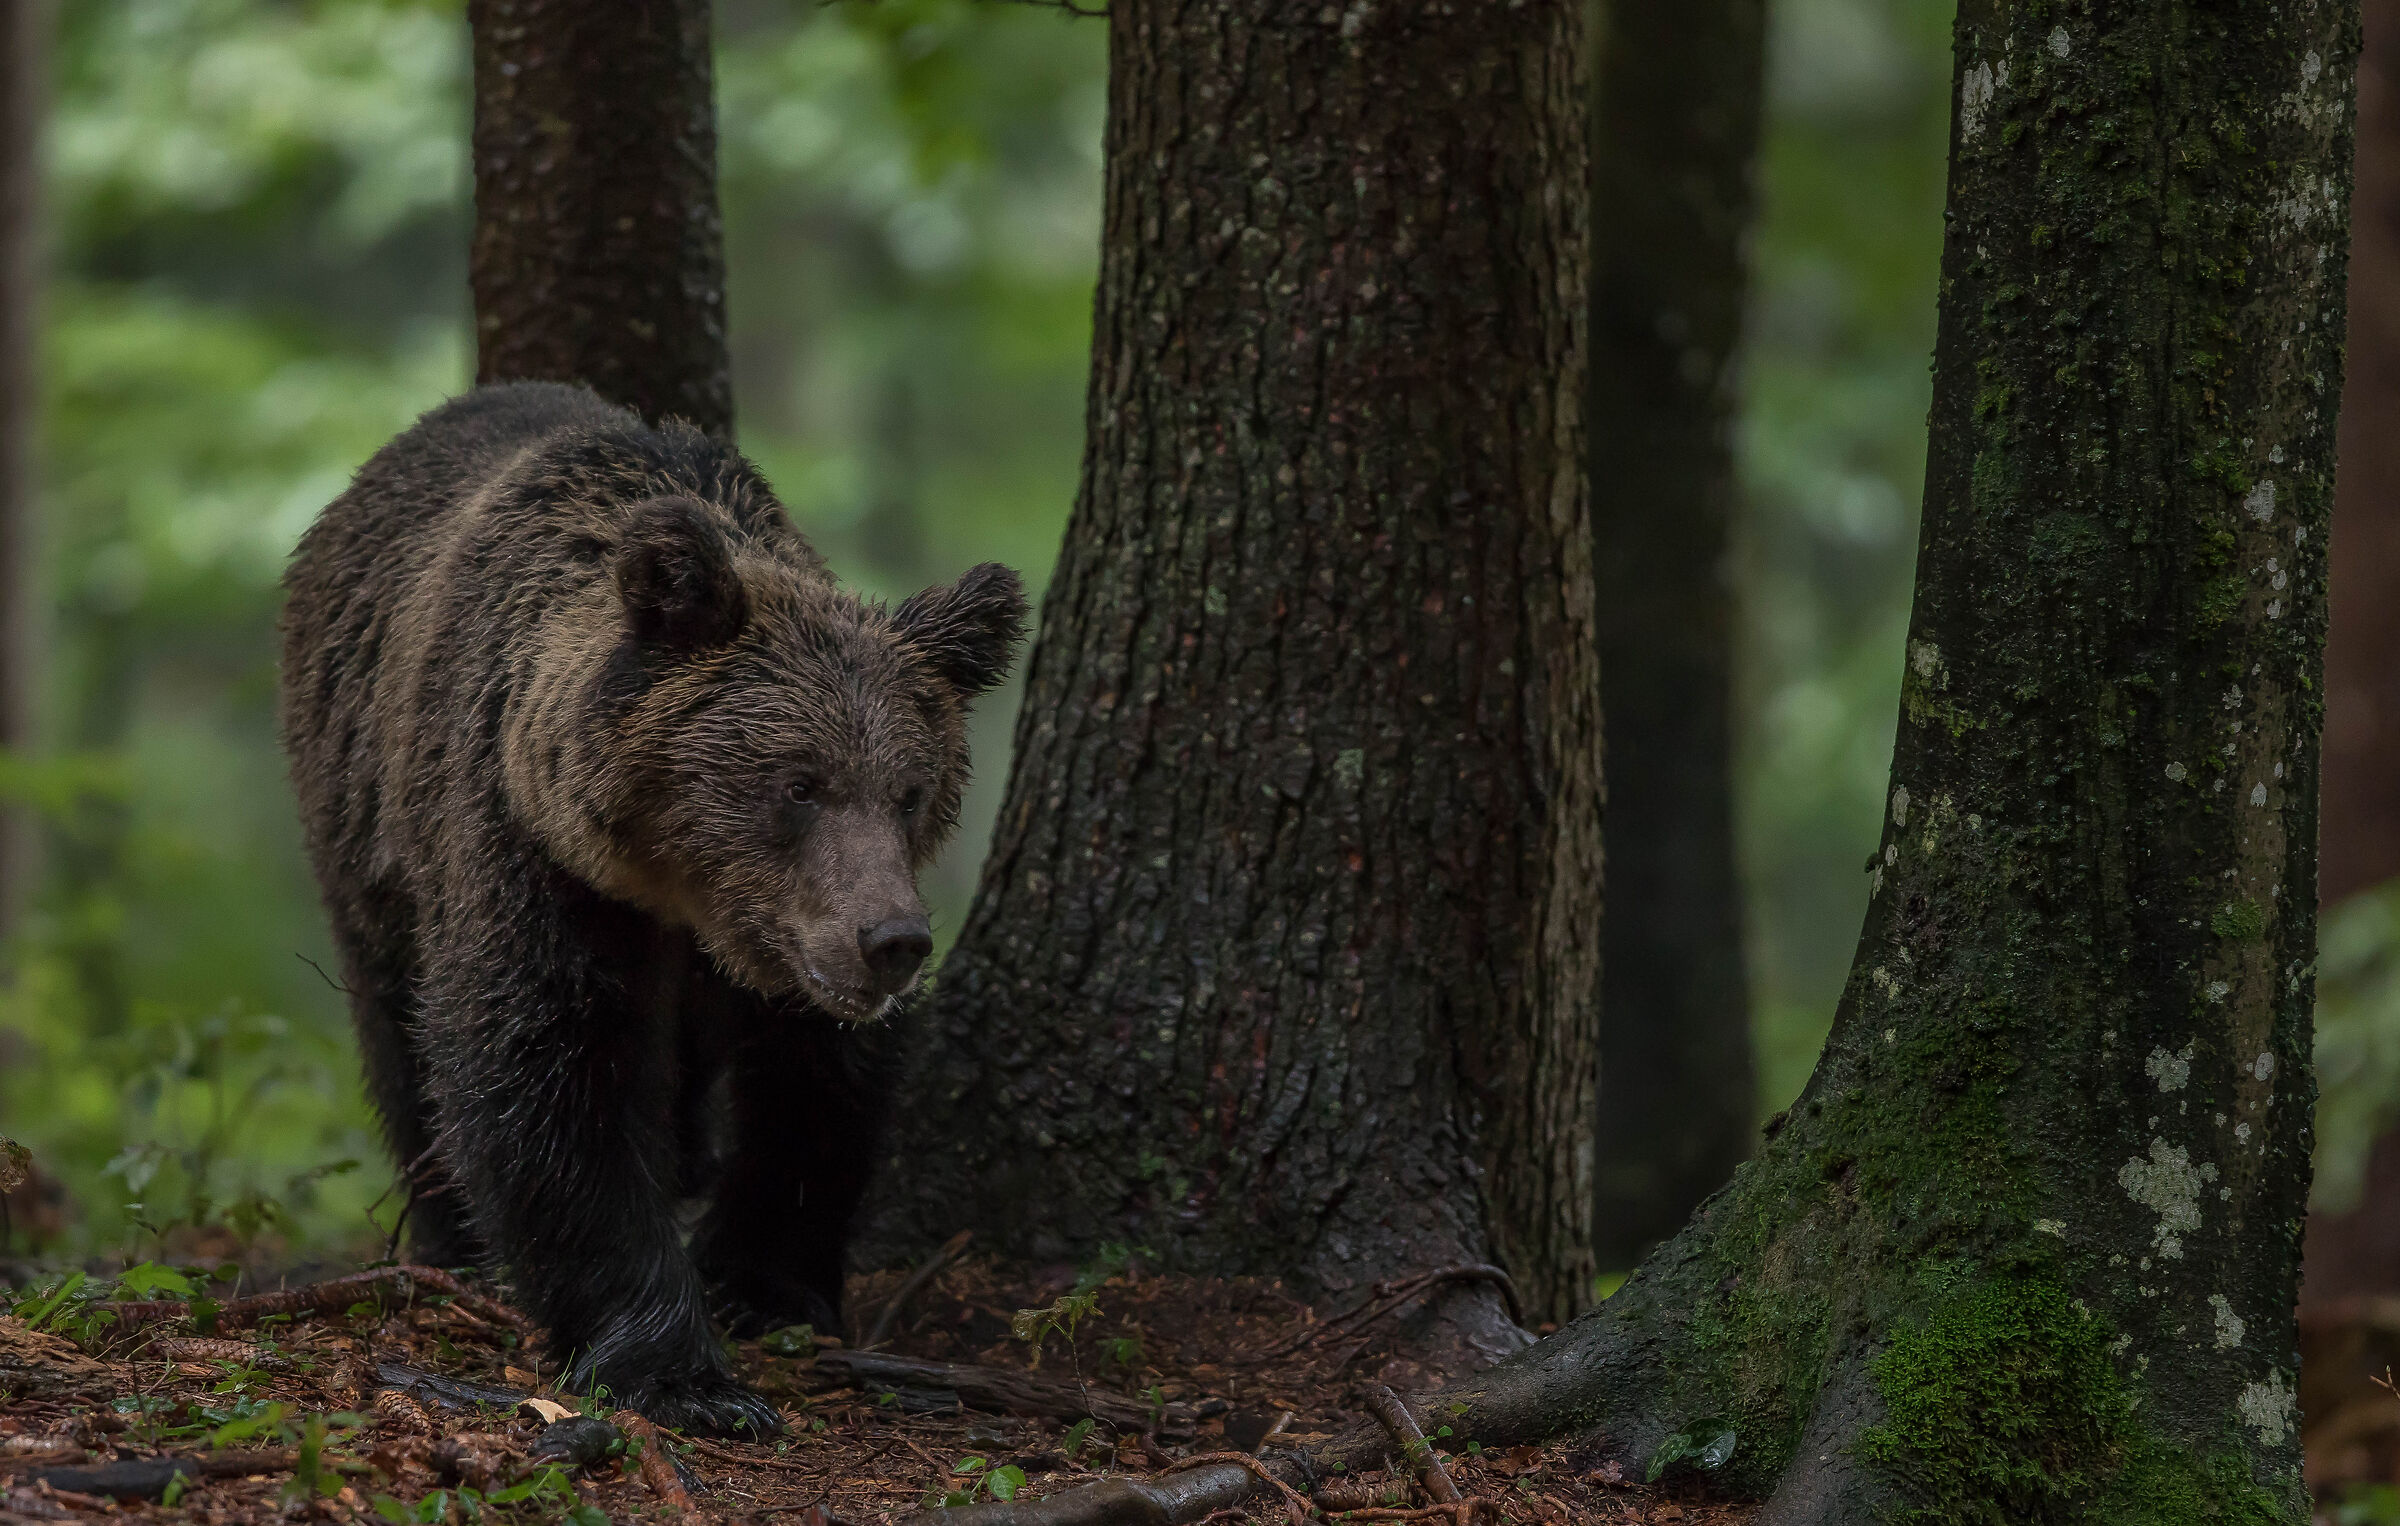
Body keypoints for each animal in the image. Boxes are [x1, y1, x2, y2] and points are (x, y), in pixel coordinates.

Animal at [278, 381, 1025, 1433]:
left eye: (911, 790)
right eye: (800, 784)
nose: (894, 941)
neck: (682, 900)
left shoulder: (789, 948)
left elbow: (815, 1085)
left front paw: (763, 1284)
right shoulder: (535, 856)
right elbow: (547, 1075)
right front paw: (678, 1371)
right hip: (363, 827)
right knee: (398, 1031)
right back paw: (448, 1238)